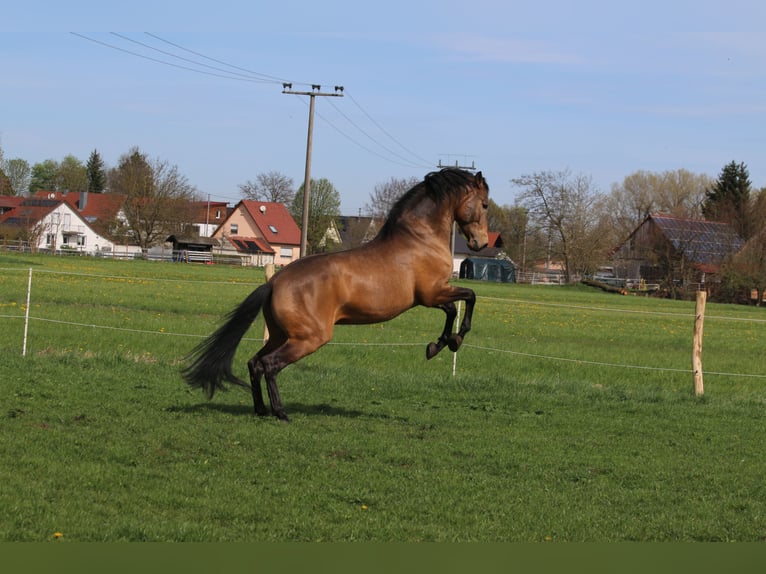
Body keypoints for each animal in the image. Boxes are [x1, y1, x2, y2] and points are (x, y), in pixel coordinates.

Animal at [183, 168, 488, 424]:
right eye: (484, 204)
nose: (481, 243)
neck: (420, 238)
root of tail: (276, 282)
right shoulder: (432, 293)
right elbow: (469, 298)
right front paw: (455, 340)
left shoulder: (433, 296)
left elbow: (453, 309)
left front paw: (438, 345)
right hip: (309, 338)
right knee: (269, 365)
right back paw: (281, 413)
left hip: (282, 335)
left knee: (254, 363)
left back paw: (260, 410)